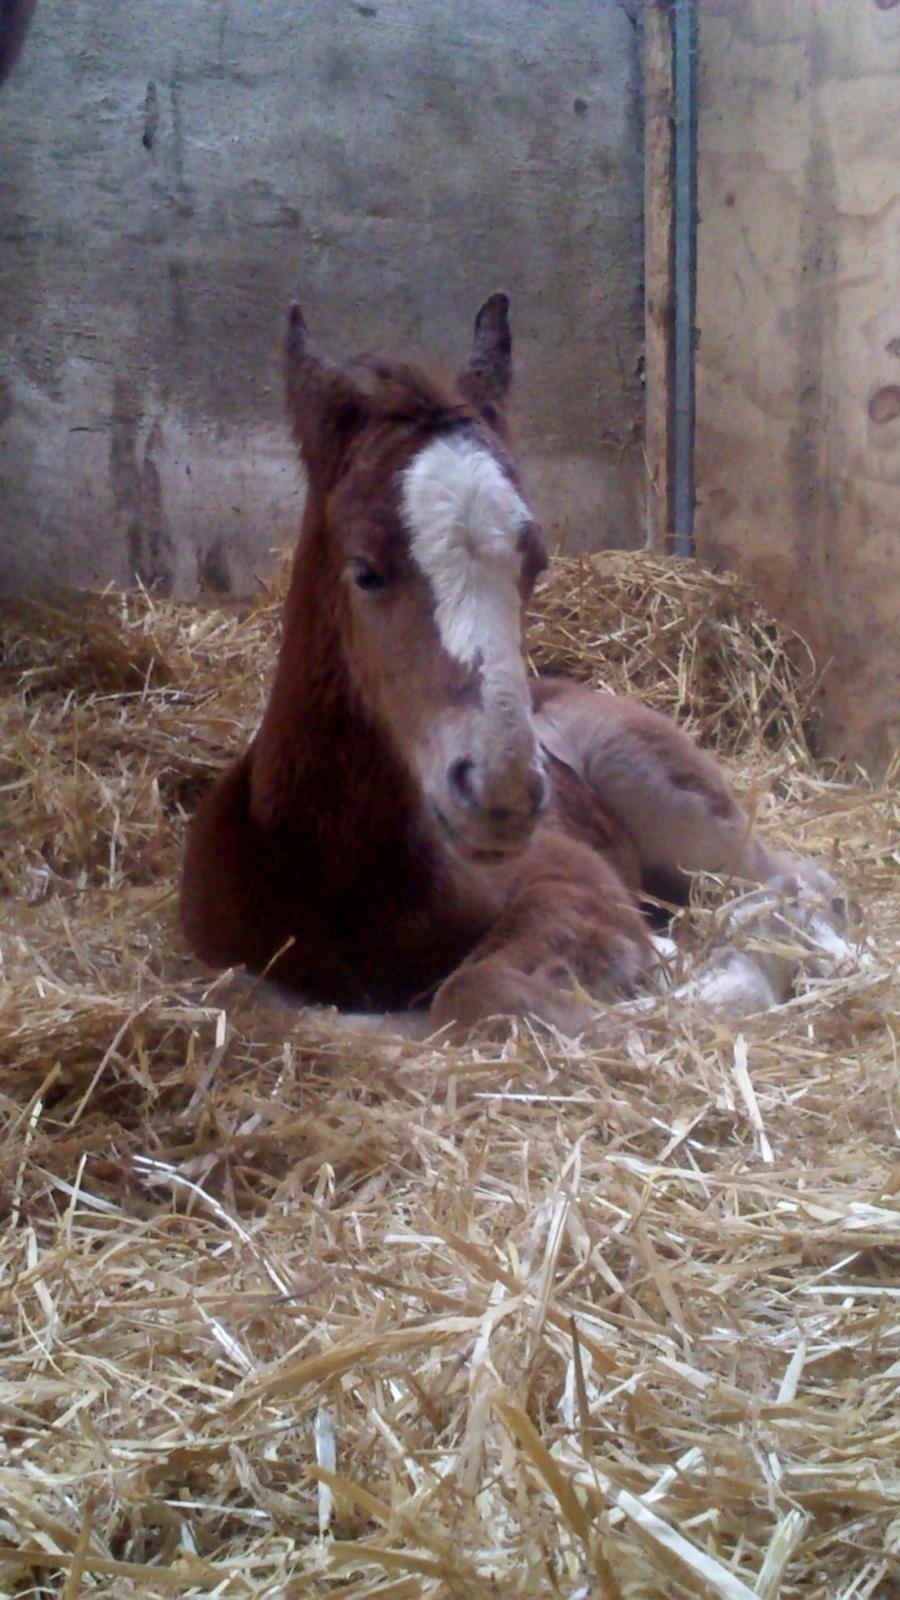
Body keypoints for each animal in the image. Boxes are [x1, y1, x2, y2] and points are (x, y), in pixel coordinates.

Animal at [180, 296, 845, 1036]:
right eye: (365, 570)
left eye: (536, 564)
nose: (502, 795)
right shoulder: (236, 976)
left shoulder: (573, 881)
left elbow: (477, 992)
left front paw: (698, 973)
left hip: (678, 808)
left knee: (802, 882)